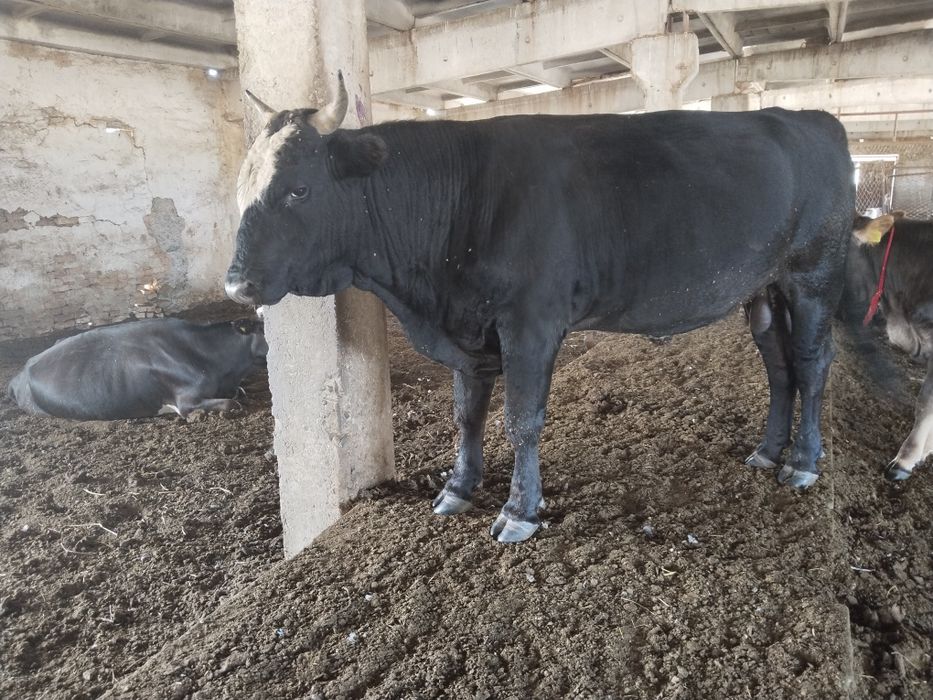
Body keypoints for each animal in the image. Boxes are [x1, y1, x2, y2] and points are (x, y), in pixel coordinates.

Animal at [225, 73, 854, 542]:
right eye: (239, 189)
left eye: (299, 189)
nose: (236, 285)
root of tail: (813, 117)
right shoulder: (469, 328)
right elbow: (468, 413)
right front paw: (457, 488)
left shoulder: (530, 322)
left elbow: (521, 420)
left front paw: (519, 511)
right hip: (763, 292)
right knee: (780, 368)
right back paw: (768, 452)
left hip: (814, 277)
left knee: (813, 364)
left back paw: (803, 462)